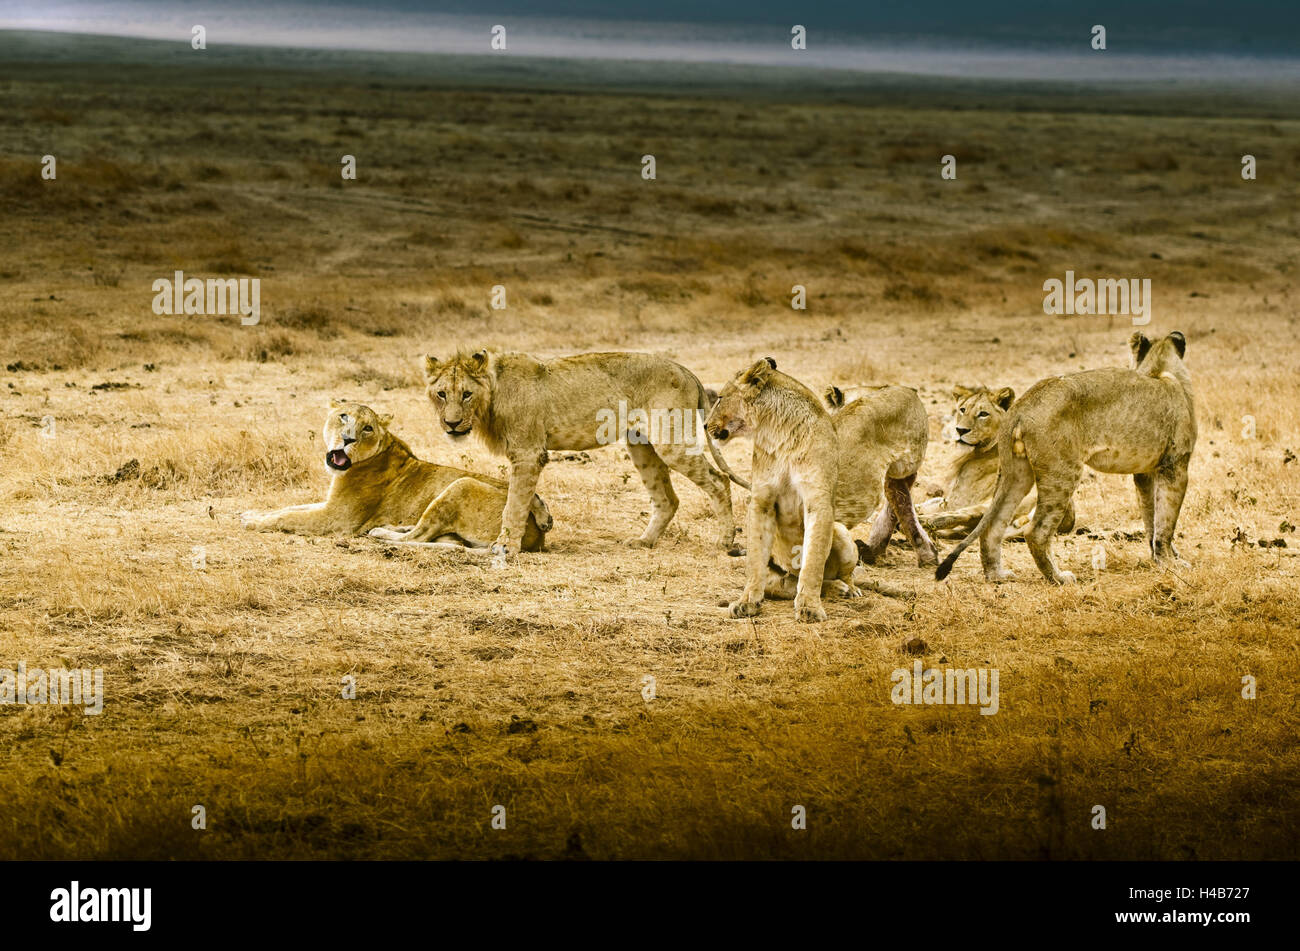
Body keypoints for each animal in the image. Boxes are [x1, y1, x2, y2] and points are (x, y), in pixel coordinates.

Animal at [241, 400, 551, 550]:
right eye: (343, 416)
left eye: (367, 428)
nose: (348, 438)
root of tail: (535, 537)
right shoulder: (329, 504)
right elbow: (290, 507)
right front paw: (251, 514)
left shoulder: (337, 519)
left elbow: (288, 517)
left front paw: (251, 523)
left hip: (461, 484)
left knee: (419, 536)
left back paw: (380, 533)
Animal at [423, 348, 748, 556]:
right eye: (442, 394)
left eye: (466, 394)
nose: (451, 424)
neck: (492, 393)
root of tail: (686, 370)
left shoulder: (528, 453)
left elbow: (514, 504)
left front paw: (506, 547)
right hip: (641, 445)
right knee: (668, 499)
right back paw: (643, 542)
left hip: (670, 443)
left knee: (719, 480)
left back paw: (724, 542)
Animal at [909, 381, 1071, 537]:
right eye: (962, 410)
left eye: (983, 414)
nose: (960, 430)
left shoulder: (957, 500)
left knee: (964, 516)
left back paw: (922, 523)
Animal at [935, 335, 1196, 587]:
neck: (1159, 368)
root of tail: (1021, 404)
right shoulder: (1175, 466)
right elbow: (1165, 522)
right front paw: (1171, 564)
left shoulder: (1145, 473)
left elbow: (1152, 518)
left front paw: (1162, 558)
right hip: (1063, 472)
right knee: (1036, 531)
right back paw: (1058, 578)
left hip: (1017, 472)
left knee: (993, 524)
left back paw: (997, 575)